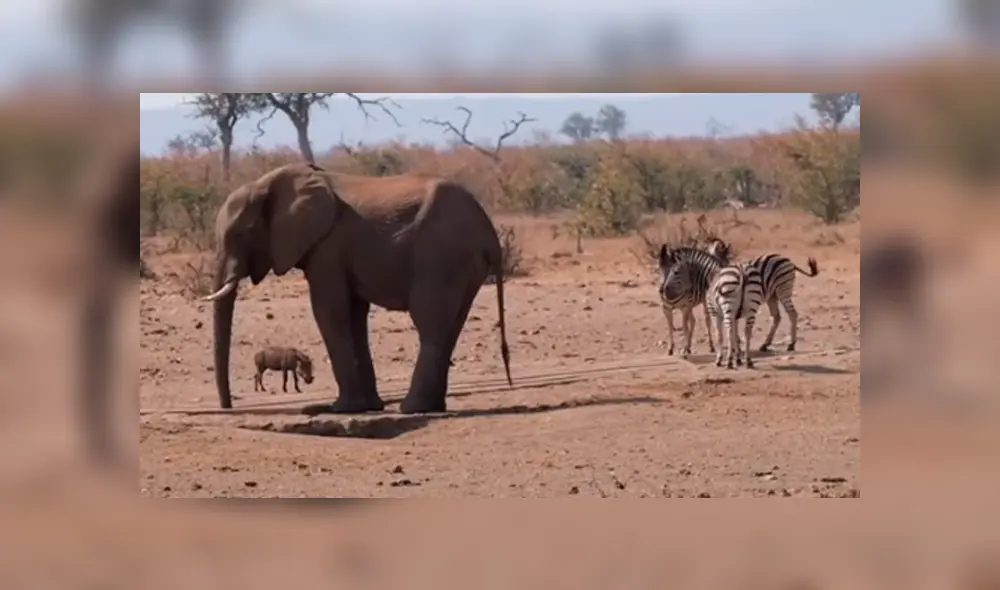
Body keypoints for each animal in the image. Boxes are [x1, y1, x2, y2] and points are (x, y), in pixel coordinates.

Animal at [203, 162, 513, 414]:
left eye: (240, 234)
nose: (228, 406)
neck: (270, 182)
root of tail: (489, 232)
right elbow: (353, 315)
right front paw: (369, 407)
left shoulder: (328, 248)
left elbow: (329, 311)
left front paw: (343, 409)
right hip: (464, 265)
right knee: (451, 327)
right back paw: (432, 408)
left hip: (441, 256)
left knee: (429, 322)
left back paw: (411, 409)